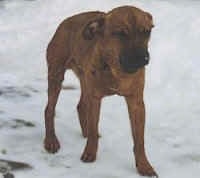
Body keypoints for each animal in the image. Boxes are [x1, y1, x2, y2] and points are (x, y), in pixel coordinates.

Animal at [44, 5, 156, 177]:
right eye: (121, 33)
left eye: (146, 32)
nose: (143, 58)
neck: (116, 68)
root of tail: (65, 23)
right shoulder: (95, 98)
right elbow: (93, 127)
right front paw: (90, 153)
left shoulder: (136, 102)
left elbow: (139, 140)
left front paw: (144, 165)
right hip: (56, 76)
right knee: (49, 110)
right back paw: (51, 141)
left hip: (84, 80)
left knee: (81, 106)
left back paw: (84, 133)